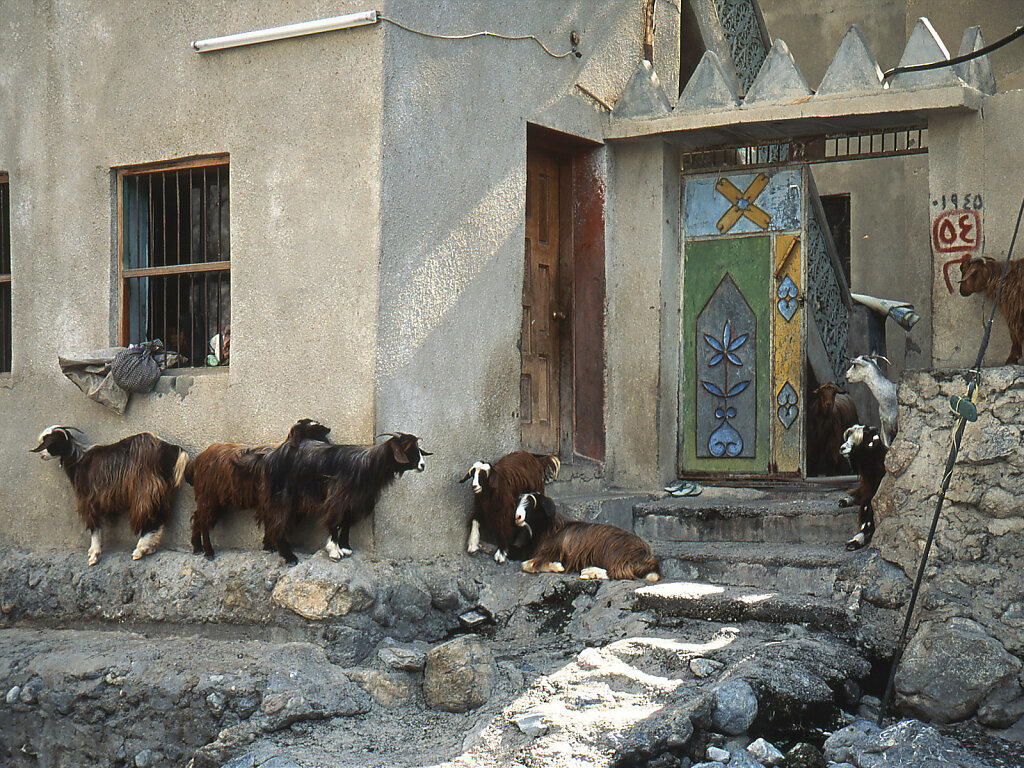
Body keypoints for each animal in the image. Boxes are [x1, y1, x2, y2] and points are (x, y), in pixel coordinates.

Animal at [32, 428, 190, 565]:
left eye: (48, 442)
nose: (41, 455)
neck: (78, 459)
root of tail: (171, 449)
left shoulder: (87, 499)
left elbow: (94, 526)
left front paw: (94, 554)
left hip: (146, 489)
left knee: (150, 516)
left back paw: (140, 549)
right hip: (164, 491)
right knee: (161, 517)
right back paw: (150, 546)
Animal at [184, 421, 327, 561]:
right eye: (313, 432)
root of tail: (196, 461)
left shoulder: (268, 504)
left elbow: (270, 524)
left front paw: (269, 546)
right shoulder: (277, 503)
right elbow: (277, 525)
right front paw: (288, 556)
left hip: (215, 499)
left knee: (197, 518)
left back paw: (197, 548)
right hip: (209, 498)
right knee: (203, 522)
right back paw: (208, 552)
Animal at [260, 434, 432, 565]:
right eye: (408, 448)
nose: (422, 465)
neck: (369, 466)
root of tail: (272, 455)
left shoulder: (354, 501)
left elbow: (347, 522)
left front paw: (345, 548)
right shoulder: (337, 497)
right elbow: (335, 523)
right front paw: (334, 551)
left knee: (270, 518)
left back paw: (269, 545)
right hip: (284, 496)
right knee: (278, 520)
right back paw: (289, 556)